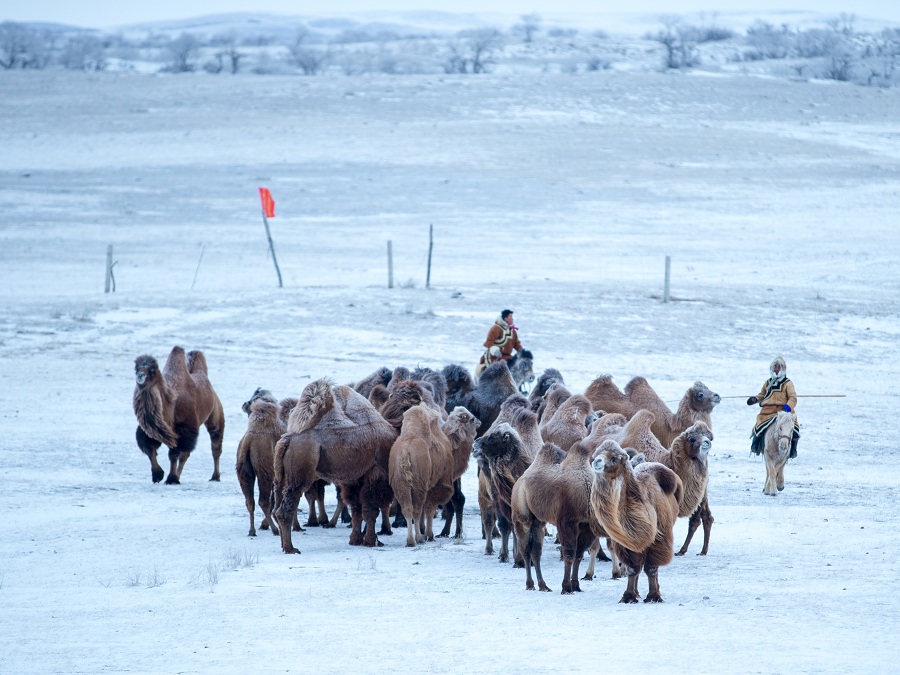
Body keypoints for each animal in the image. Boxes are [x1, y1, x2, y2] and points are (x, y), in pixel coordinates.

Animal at [132, 346, 225, 484]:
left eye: (152, 370)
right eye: (136, 368)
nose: (140, 375)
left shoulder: (183, 429)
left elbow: (173, 454)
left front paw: (171, 478)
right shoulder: (149, 431)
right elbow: (150, 449)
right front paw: (157, 475)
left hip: (215, 416)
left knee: (215, 447)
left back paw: (215, 477)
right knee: (186, 455)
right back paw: (179, 475)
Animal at [272, 379, 397, 554]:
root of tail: (286, 441)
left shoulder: (355, 477)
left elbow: (357, 508)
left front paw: (356, 540)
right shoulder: (376, 472)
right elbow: (370, 509)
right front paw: (371, 541)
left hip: (280, 477)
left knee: (276, 508)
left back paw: (284, 545)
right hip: (299, 474)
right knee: (285, 509)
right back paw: (291, 548)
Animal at [388, 405, 479, 546]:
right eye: (471, 419)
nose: (479, 422)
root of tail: (404, 453)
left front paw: (423, 530)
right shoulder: (437, 485)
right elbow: (430, 509)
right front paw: (428, 534)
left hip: (400, 484)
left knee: (407, 508)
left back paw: (411, 540)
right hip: (418, 484)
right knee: (417, 509)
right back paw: (419, 539)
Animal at [512, 440, 602, 594]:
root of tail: (519, 481)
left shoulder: (587, 525)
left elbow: (579, 554)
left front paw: (576, 585)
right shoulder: (567, 522)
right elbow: (569, 554)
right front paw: (566, 587)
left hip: (538, 522)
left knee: (536, 551)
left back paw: (543, 585)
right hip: (521, 515)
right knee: (525, 549)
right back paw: (530, 584)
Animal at [590, 440, 683, 603]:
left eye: (614, 458)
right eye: (596, 454)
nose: (596, 461)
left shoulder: (660, 538)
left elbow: (651, 568)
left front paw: (653, 596)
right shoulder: (627, 544)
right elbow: (633, 568)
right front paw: (628, 596)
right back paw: (638, 592)